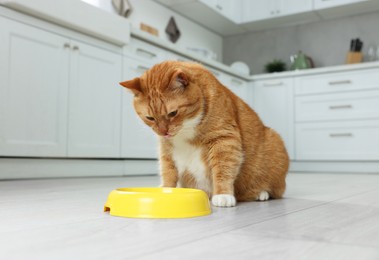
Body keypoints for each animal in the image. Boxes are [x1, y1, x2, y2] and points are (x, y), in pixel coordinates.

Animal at [120, 61, 290, 207]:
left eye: (173, 113)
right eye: (150, 118)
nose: (164, 132)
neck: (185, 130)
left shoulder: (225, 139)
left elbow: (223, 168)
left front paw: (223, 194)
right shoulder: (166, 149)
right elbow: (168, 171)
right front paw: (166, 189)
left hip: (274, 142)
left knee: (275, 190)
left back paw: (262, 194)